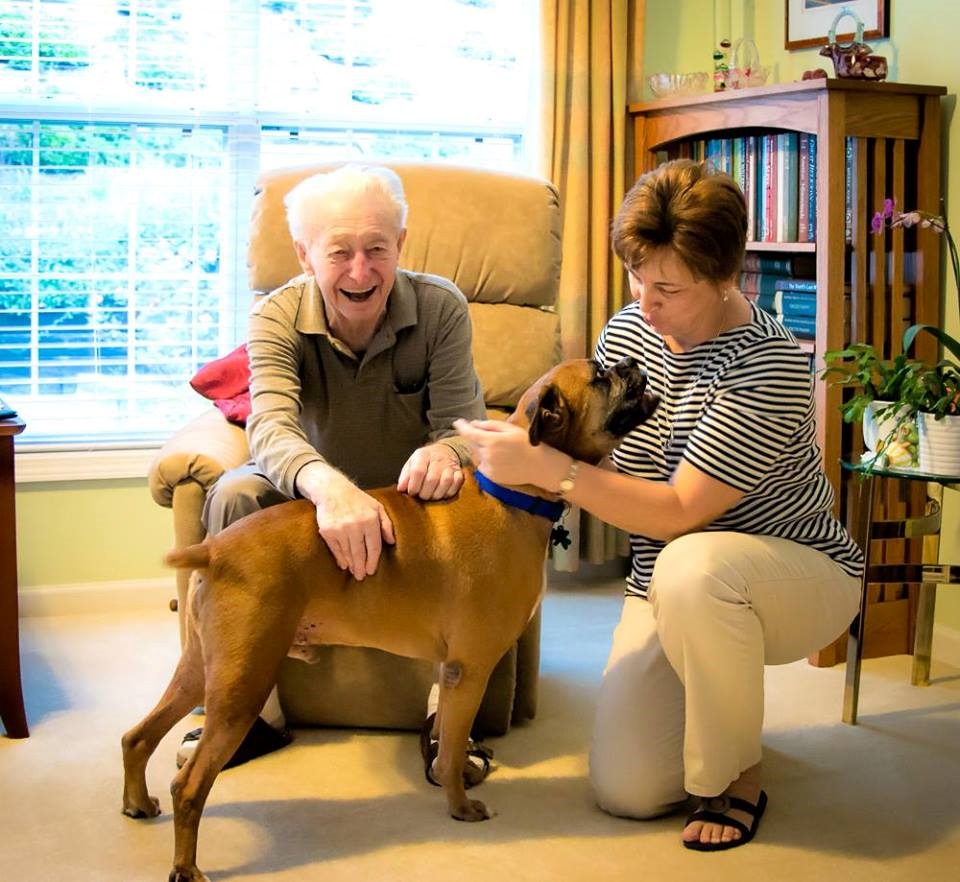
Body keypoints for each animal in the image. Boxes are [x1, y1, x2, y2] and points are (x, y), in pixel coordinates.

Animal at [120, 356, 658, 882]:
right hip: (240, 686)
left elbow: (446, 737)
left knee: (138, 736)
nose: (632, 364)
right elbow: (451, 748)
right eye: (600, 376)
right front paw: (460, 807)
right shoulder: (470, 671)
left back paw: (137, 805)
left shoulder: (451, 671)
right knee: (189, 785)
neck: (510, 494)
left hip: (201, 671)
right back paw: (185, 868)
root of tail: (217, 549)